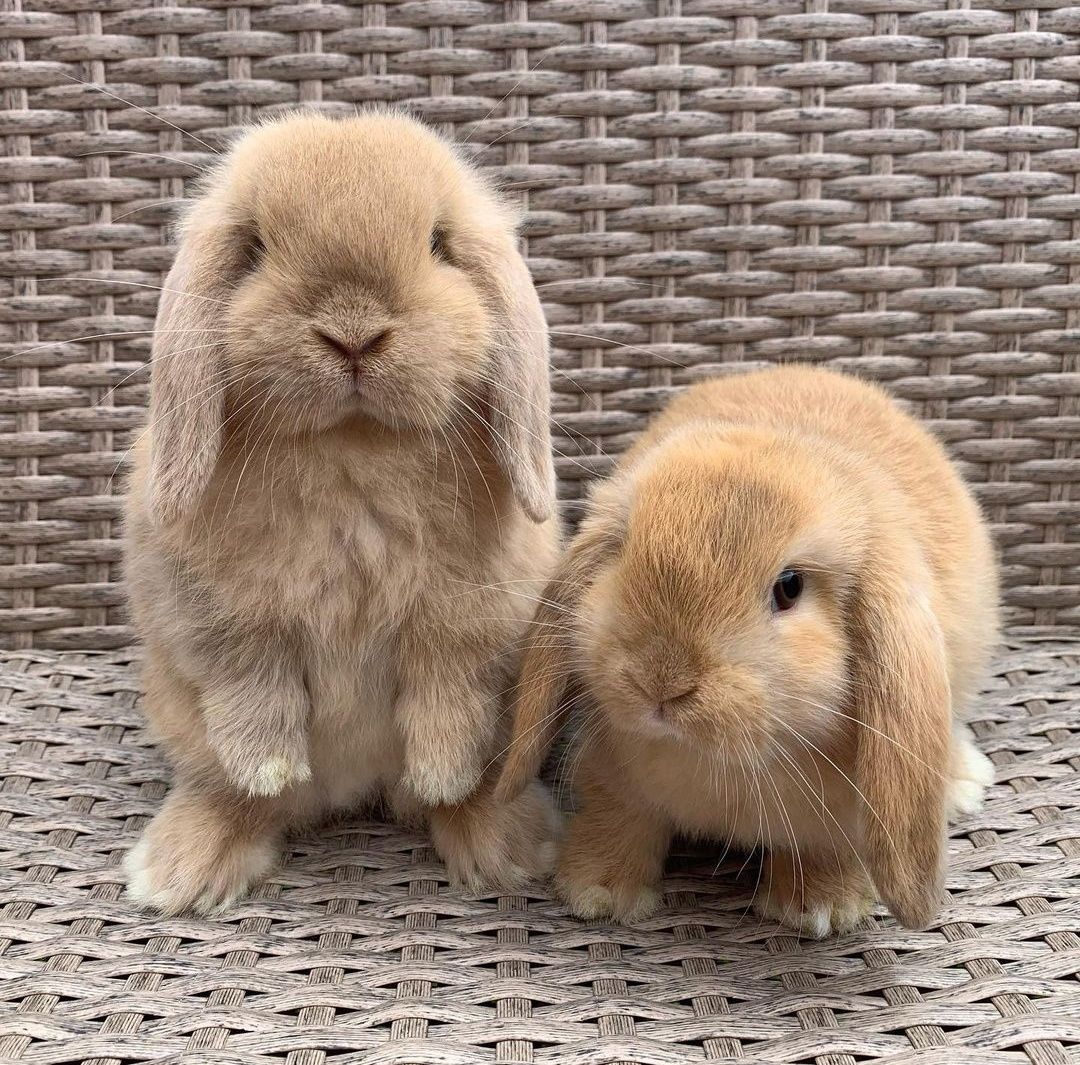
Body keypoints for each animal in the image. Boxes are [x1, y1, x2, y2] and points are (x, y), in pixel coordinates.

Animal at [124, 110, 565, 911]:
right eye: (255, 248)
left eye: (439, 244)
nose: (353, 332)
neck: (352, 450)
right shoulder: (217, 620)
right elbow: (251, 691)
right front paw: (267, 767)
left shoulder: (474, 622)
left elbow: (450, 693)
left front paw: (443, 774)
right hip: (185, 725)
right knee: (228, 788)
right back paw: (183, 869)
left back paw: (507, 845)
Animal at [494, 369, 997, 933]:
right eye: (624, 552)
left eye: (790, 587)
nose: (660, 680)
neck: (714, 760)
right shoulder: (613, 780)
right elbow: (621, 821)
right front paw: (599, 894)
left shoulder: (842, 814)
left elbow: (825, 846)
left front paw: (821, 910)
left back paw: (962, 783)